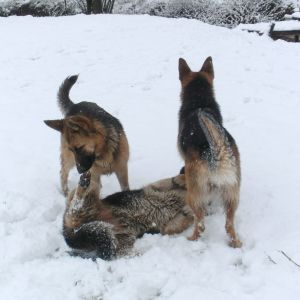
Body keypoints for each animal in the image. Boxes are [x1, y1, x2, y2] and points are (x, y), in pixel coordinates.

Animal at [64, 171, 193, 260]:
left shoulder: (170, 224)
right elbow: (169, 181)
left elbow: (178, 222)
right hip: (92, 195)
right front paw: (180, 179)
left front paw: (189, 211)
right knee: (75, 207)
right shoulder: (155, 188)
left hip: (120, 238)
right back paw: (83, 183)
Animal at [177, 56, 243, 248]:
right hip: (232, 193)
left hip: (193, 194)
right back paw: (235, 243)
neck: (199, 101)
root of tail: (217, 153)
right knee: (229, 225)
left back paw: (191, 240)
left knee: (200, 224)